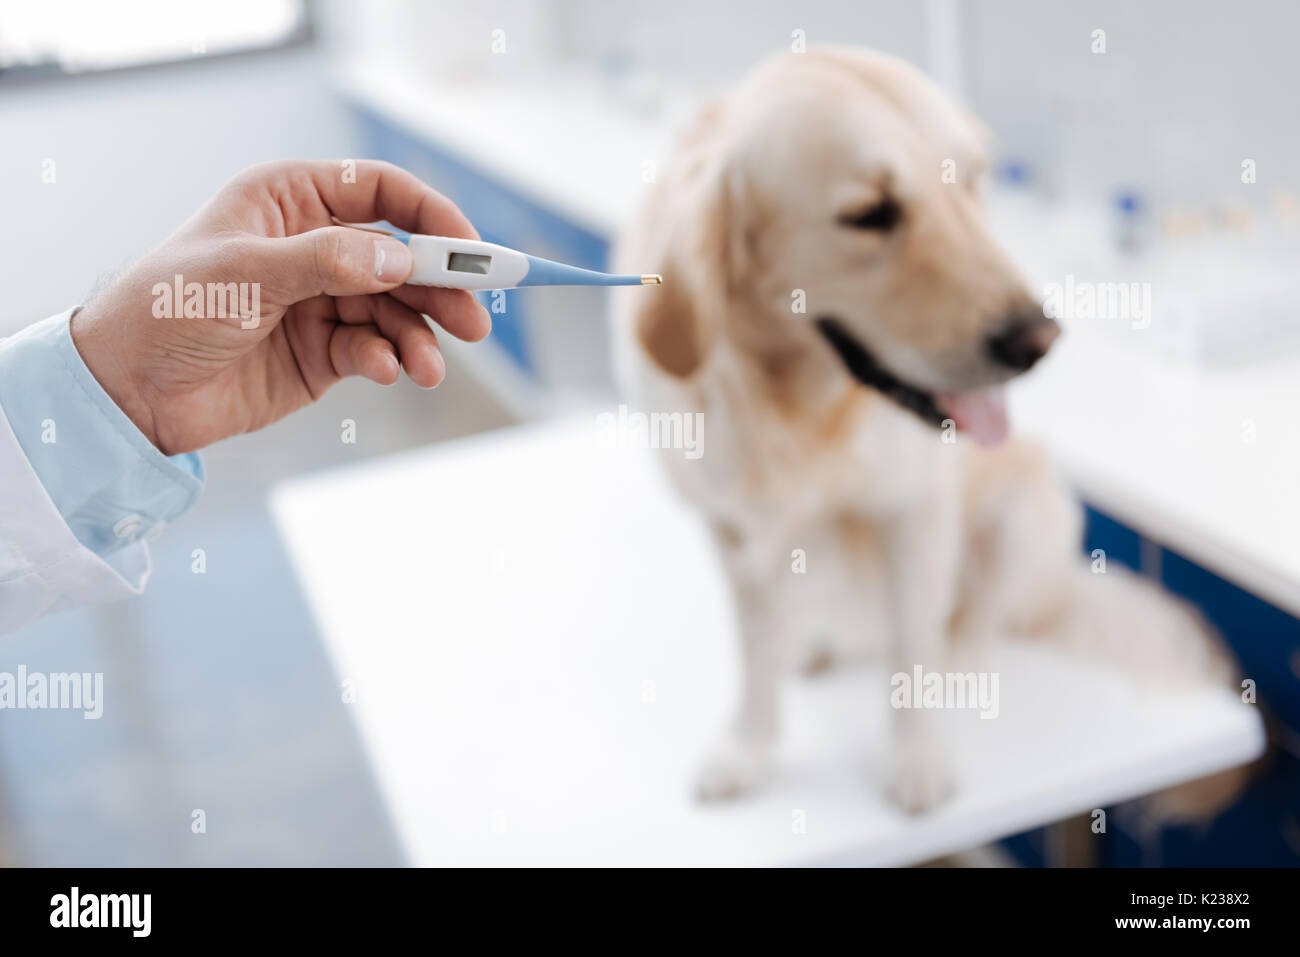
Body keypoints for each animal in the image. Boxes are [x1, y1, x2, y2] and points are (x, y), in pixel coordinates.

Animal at [613, 48, 1242, 816]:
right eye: (868, 214)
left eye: (972, 180)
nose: (1040, 340)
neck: (798, 404)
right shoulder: (728, 529)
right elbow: (754, 658)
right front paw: (746, 750)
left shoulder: (914, 512)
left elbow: (913, 654)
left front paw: (918, 762)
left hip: (1029, 510)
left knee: (974, 620)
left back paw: (957, 658)